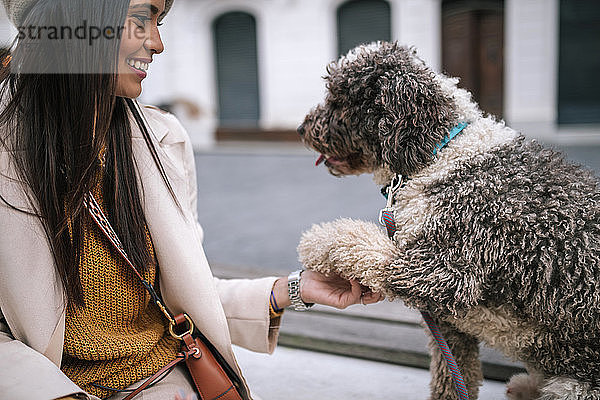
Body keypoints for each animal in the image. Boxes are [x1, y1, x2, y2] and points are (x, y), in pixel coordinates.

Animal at [296, 42, 600, 398]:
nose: (301, 129)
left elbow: (355, 240)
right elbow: (452, 380)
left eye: (338, 99)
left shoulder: (445, 267)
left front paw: (316, 242)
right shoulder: (448, 325)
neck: (441, 153)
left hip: (574, 386)